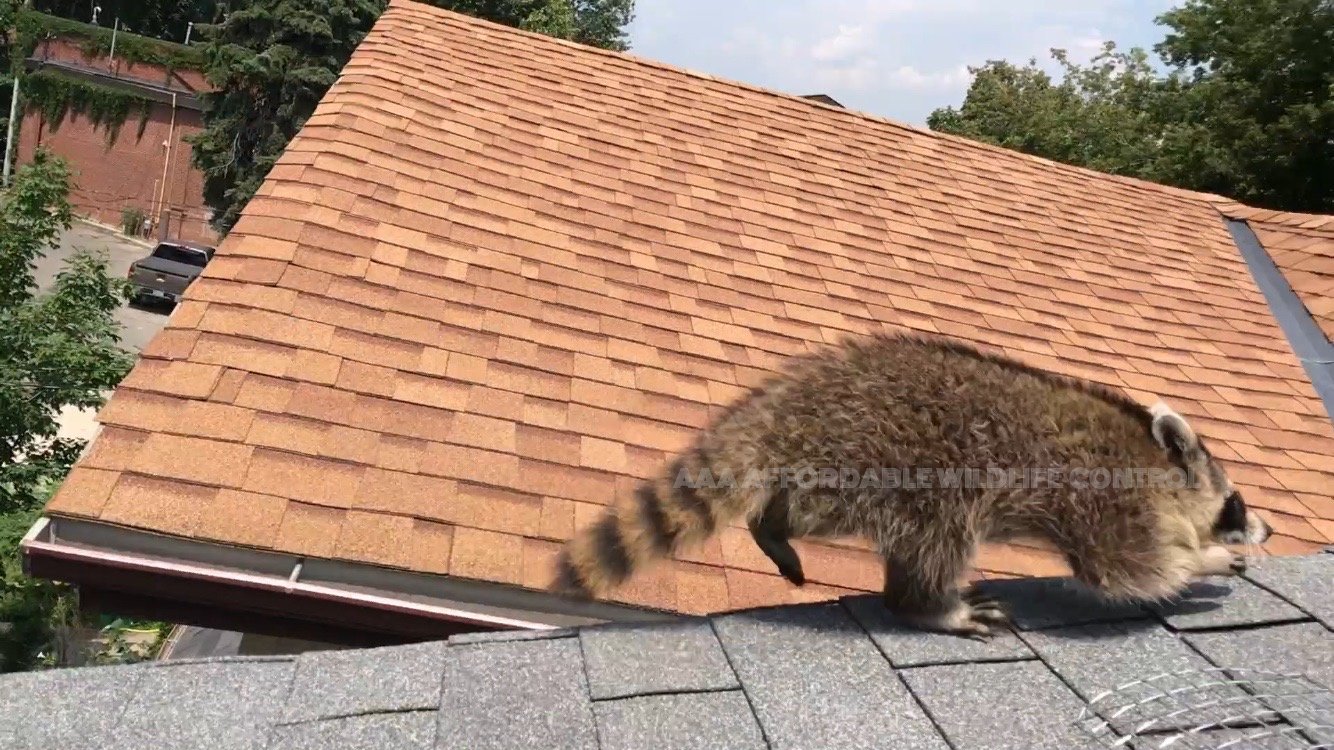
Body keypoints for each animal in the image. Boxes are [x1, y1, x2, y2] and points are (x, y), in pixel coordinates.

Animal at [552, 331, 1273, 638]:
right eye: (1234, 502)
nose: (1265, 528)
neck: (1156, 462)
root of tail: (790, 405)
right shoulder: (1109, 505)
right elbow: (1128, 570)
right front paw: (1206, 558)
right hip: (901, 461)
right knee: (939, 537)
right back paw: (929, 607)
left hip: (838, 474)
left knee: (805, 510)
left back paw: (772, 527)